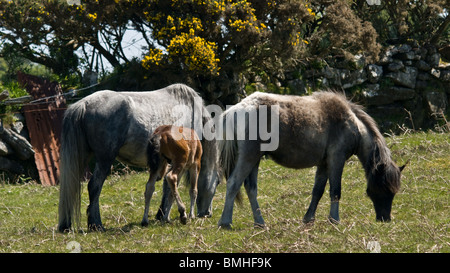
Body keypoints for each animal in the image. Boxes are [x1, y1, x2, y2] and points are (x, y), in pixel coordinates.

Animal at [59, 83, 221, 232]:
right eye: (218, 182)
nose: (207, 213)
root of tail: (83, 104)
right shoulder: (179, 162)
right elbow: (171, 188)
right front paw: (168, 215)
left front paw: (162, 215)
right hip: (105, 159)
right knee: (94, 186)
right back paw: (96, 225)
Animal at [220, 91, 406, 227]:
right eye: (384, 188)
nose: (385, 219)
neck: (353, 124)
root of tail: (235, 110)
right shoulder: (336, 160)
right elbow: (335, 191)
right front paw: (334, 219)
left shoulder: (324, 164)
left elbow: (318, 191)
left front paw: (309, 218)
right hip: (249, 157)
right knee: (234, 183)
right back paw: (225, 222)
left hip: (255, 159)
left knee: (250, 188)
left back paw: (260, 223)